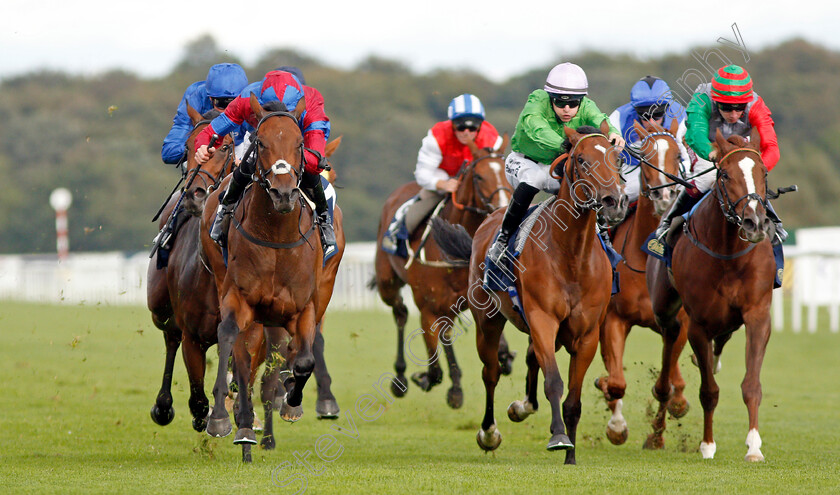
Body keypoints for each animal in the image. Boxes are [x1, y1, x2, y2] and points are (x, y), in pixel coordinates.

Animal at [200, 95, 344, 464]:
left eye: (299, 144)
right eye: (261, 143)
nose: (283, 193)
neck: (277, 236)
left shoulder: (303, 307)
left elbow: (305, 357)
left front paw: (293, 397)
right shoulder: (240, 301)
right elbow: (231, 344)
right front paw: (225, 419)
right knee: (242, 356)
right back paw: (242, 425)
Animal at [372, 138, 516, 408]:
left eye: (506, 171)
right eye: (479, 176)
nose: (504, 207)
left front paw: (504, 354)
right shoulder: (427, 308)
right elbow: (434, 368)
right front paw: (425, 377)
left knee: (445, 329)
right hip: (388, 283)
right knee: (401, 313)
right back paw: (401, 376)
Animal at [436, 121, 628, 464]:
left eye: (617, 159)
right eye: (582, 160)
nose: (614, 202)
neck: (572, 255)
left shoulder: (588, 334)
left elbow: (573, 399)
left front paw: (571, 455)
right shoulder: (542, 319)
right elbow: (554, 382)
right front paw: (559, 438)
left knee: (529, 357)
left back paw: (522, 407)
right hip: (487, 321)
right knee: (491, 372)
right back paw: (489, 433)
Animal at [592, 119, 692, 446]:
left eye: (678, 154)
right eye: (644, 155)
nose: (665, 197)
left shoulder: (678, 322)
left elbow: (668, 385)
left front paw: (658, 434)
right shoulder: (613, 319)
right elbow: (616, 381)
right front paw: (616, 426)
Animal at [648, 128, 776, 462]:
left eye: (763, 172)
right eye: (725, 174)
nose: (755, 223)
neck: (728, 253)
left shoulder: (758, 314)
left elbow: (752, 384)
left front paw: (754, 446)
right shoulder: (699, 324)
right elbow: (709, 391)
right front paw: (707, 444)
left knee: (722, 338)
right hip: (664, 306)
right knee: (669, 340)